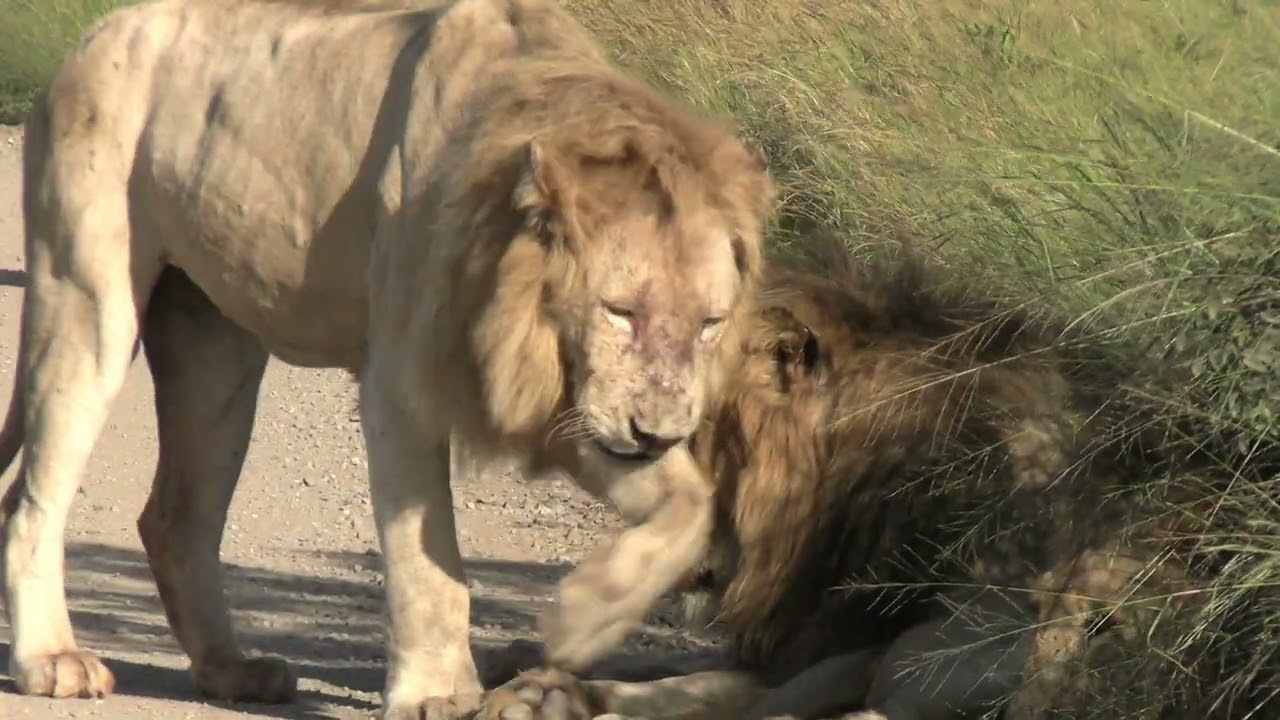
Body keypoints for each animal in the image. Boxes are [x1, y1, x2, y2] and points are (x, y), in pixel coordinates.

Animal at [0, 0, 775, 717]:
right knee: (31, 497)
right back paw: (53, 661)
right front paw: (439, 691)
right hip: (85, 294)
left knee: (175, 514)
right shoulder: (403, 384)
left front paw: (579, 620)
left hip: (214, 345)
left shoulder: (562, 407)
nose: (660, 433)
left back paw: (232, 671)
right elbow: (423, 557)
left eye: (710, 324)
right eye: (621, 310)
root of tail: (93, 34)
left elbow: (690, 504)